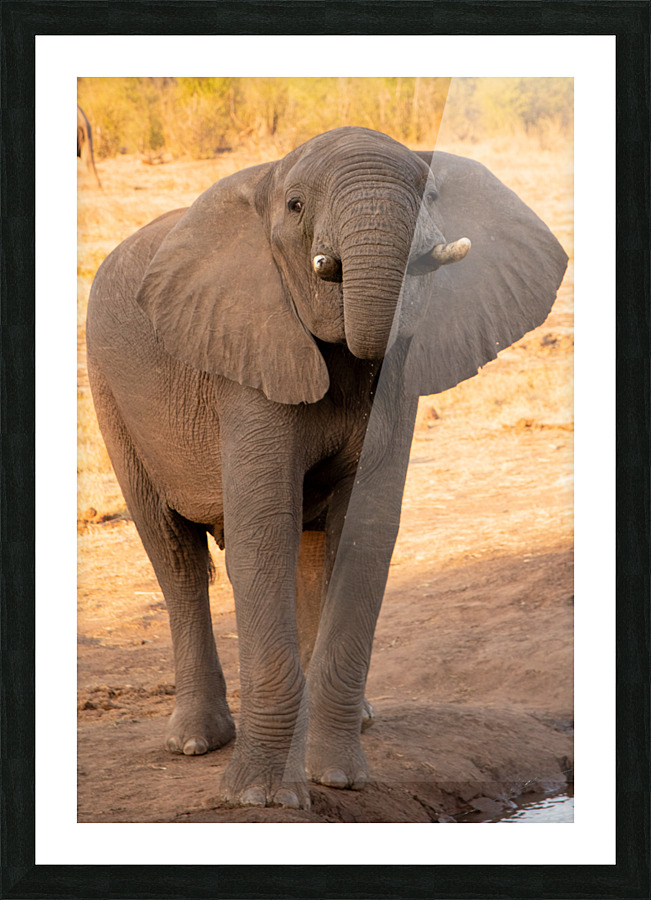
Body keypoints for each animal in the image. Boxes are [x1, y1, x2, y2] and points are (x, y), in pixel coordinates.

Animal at [87, 126, 567, 810]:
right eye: (294, 207)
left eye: (434, 197)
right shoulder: (246, 348)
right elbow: (263, 531)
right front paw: (261, 798)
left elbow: (363, 533)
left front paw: (338, 778)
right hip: (112, 394)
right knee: (175, 556)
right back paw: (195, 742)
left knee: (310, 555)